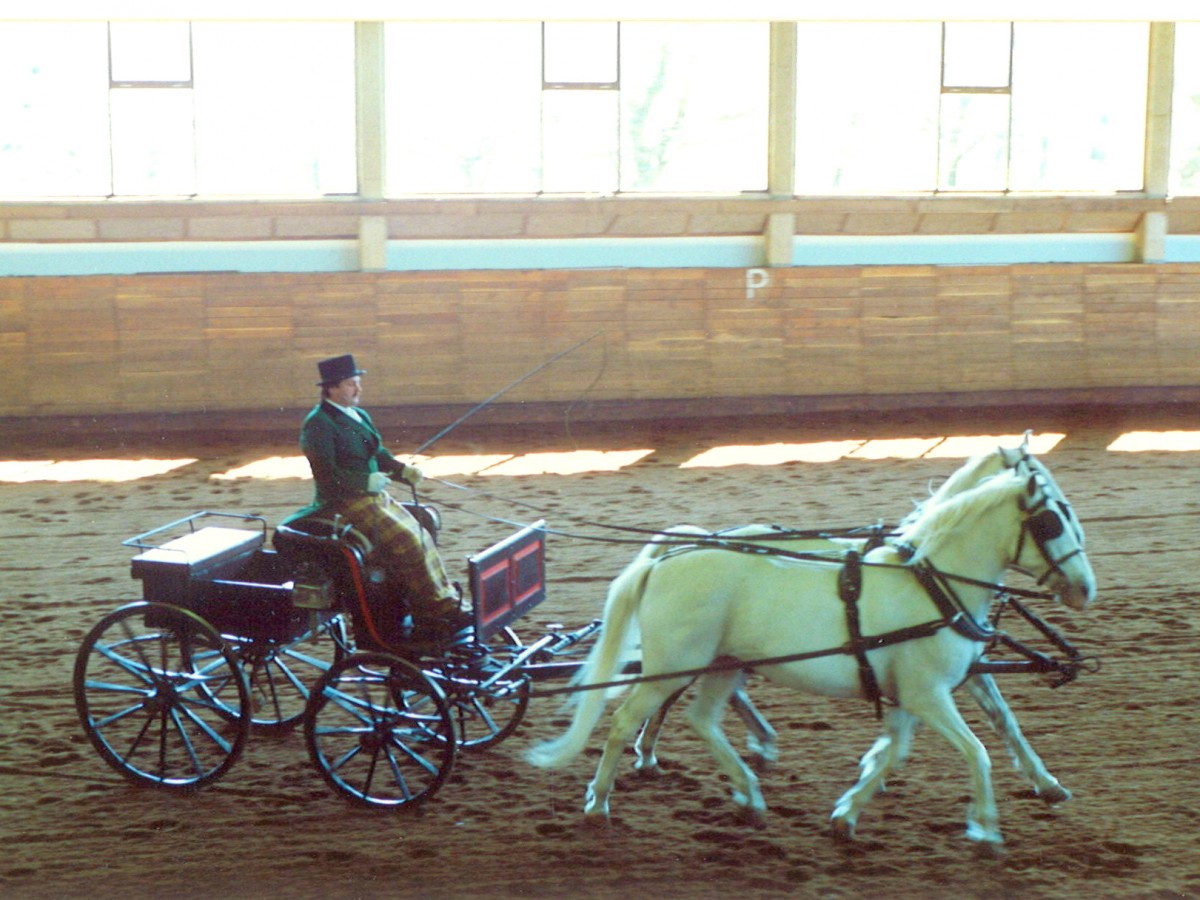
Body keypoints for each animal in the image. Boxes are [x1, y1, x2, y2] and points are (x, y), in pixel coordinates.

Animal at [528, 453, 1099, 854]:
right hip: (672, 666)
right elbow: (975, 750)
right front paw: (985, 830)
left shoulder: (912, 695)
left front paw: (848, 813)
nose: (1085, 589)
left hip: (722, 665)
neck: (933, 585)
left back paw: (748, 793)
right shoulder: (928, 694)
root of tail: (669, 557)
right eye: (1051, 522)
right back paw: (599, 803)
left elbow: (903, 749)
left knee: (702, 719)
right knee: (626, 719)